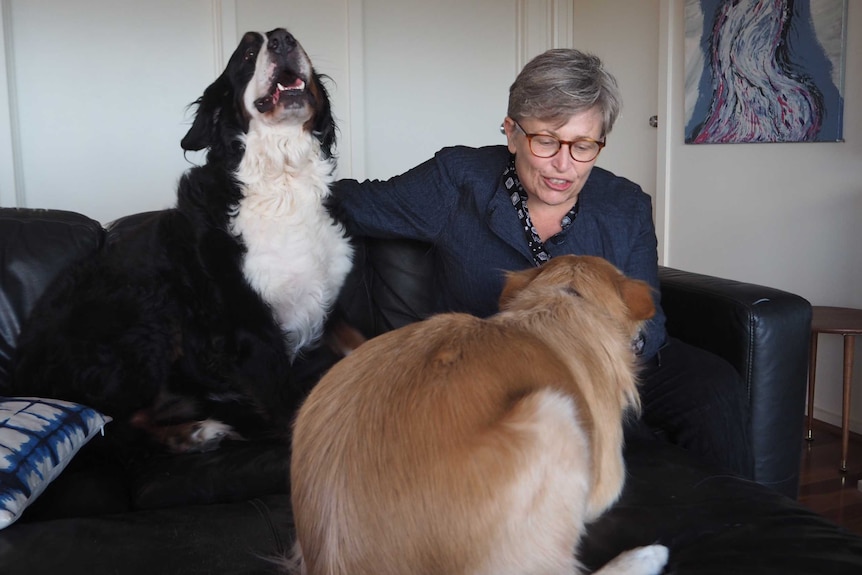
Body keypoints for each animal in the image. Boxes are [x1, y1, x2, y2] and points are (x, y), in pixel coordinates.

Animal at [13, 29, 352, 454]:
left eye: (292, 37)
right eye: (248, 53)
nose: (282, 39)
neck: (283, 181)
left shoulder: (329, 306)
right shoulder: (250, 328)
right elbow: (290, 411)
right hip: (148, 311)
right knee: (118, 423)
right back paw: (198, 432)